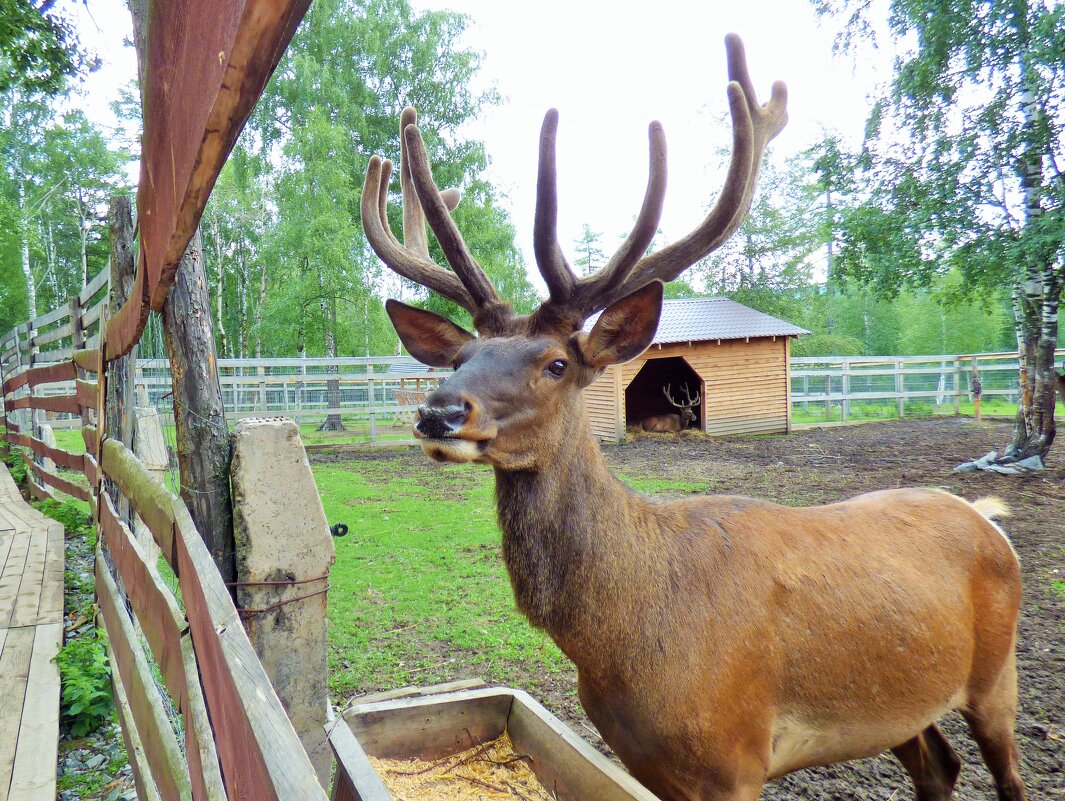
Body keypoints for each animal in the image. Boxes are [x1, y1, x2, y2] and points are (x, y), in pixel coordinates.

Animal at [362, 35, 1026, 801]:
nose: (439, 411)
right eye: (461, 356)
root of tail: (987, 517)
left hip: (996, 674)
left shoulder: (732, 758)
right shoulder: (648, 763)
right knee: (938, 765)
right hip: (902, 705)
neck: (623, 643)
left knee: (1003, 770)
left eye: (555, 363)